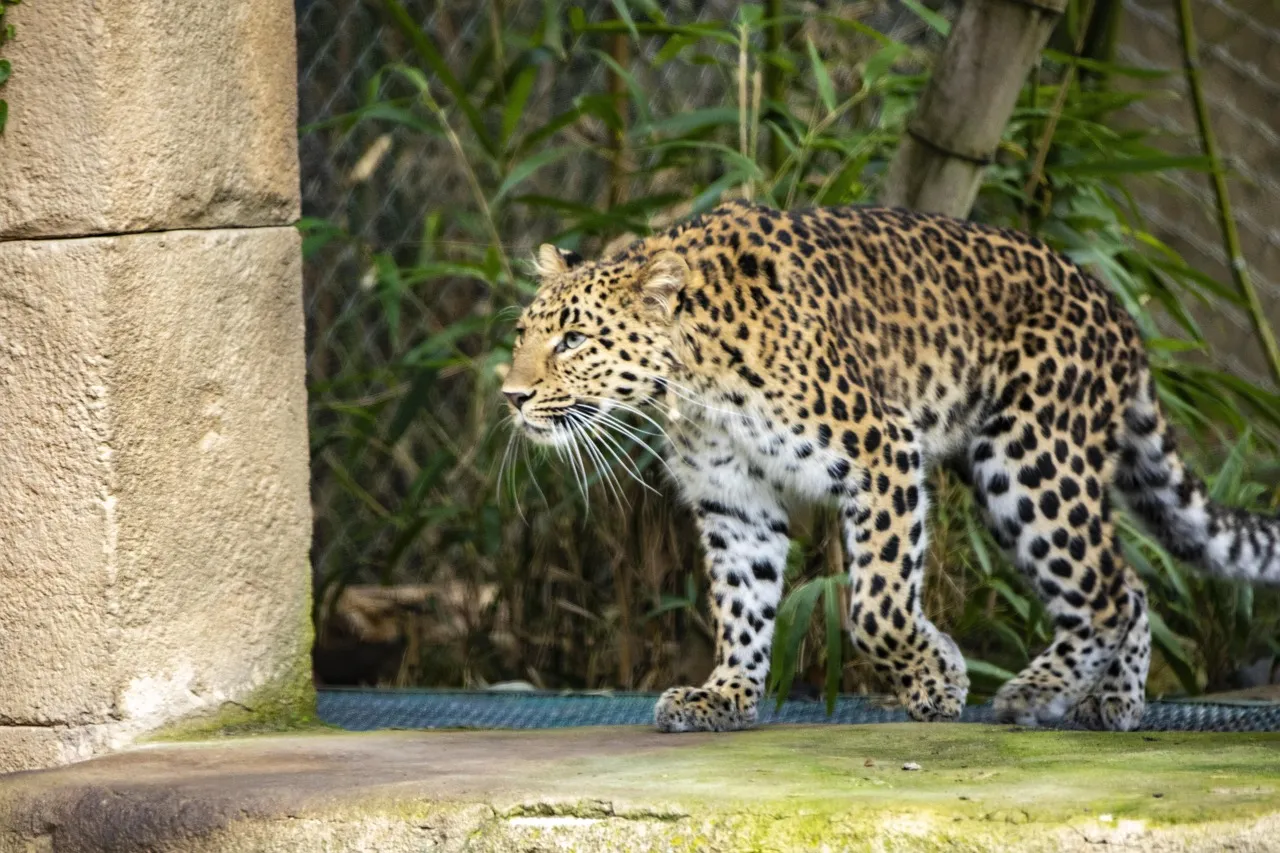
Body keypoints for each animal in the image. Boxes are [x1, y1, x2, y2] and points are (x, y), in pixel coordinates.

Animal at [502, 199, 1280, 733]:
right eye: (522, 334)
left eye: (573, 340)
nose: (511, 395)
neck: (694, 381)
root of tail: (1116, 310)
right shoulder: (734, 498)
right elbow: (743, 603)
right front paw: (724, 695)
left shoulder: (881, 449)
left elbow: (876, 604)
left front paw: (939, 678)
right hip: (1010, 475)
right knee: (1129, 581)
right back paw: (1112, 701)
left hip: (1030, 459)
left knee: (1109, 591)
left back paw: (1040, 692)